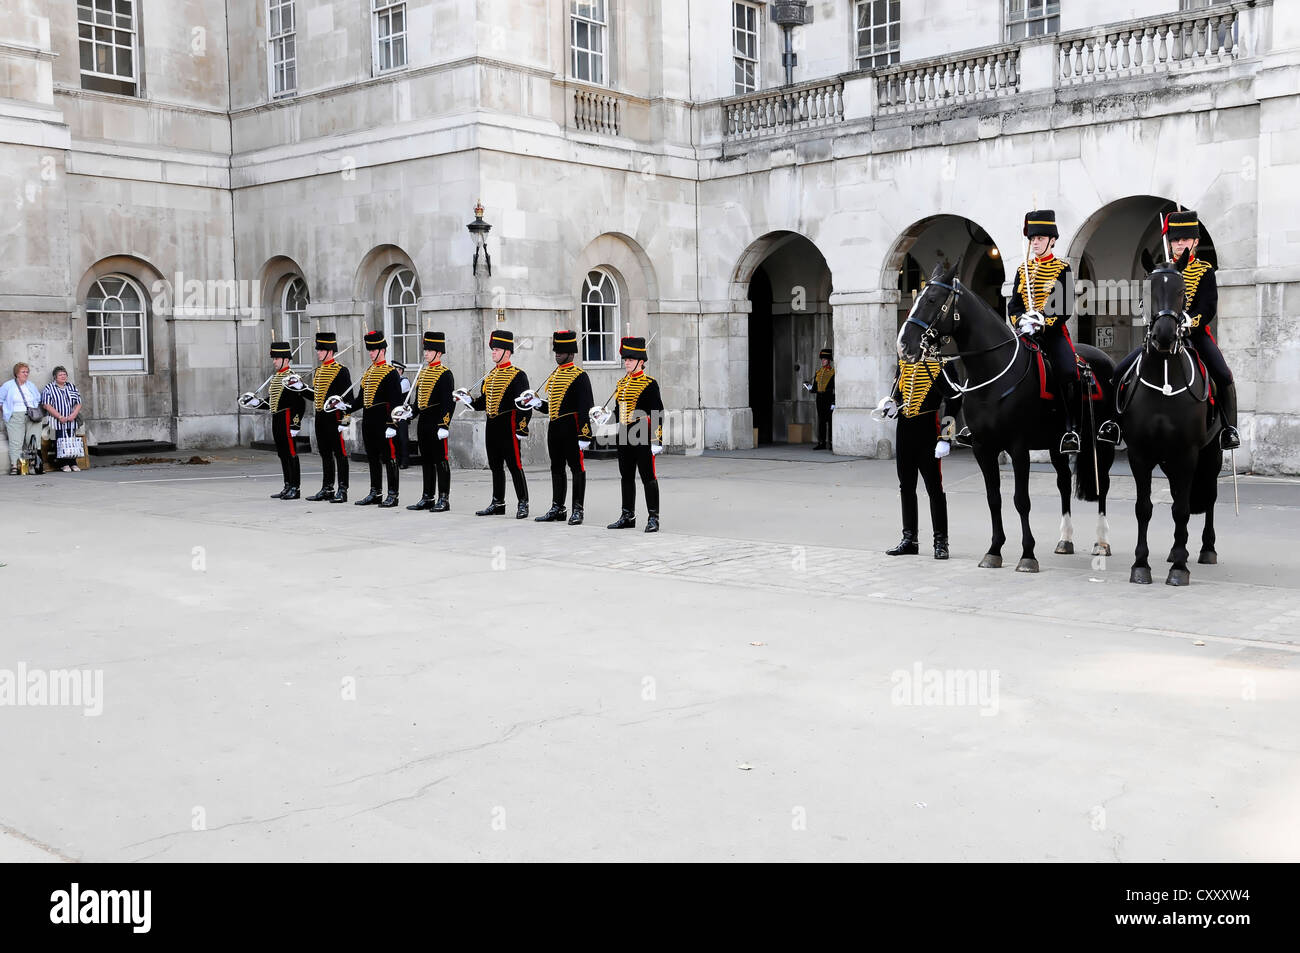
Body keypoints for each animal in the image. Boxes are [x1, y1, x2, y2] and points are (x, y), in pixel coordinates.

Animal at [894, 260, 1118, 569]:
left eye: (931, 300)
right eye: (916, 298)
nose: (904, 345)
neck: (992, 373)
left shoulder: (1018, 447)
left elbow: (1021, 500)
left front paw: (1027, 555)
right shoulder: (983, 448)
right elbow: (994, 498)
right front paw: (994, 550)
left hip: (1102, 443)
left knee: (1103, 484)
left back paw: (1102, 541)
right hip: (1055, 444)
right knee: (1063, 482)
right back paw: (1065, 539)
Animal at [1123, 249, 1222, 582]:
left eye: (1181, 292)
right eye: (1148, 289)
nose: (1164, 336)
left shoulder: (1188, 453)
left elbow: (1181, 509)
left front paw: (1179, 568)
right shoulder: (1139, 453)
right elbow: (1144, 507)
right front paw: (1141, 564)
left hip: (1211, 454)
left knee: (1209, 497)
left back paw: (1205, 549)